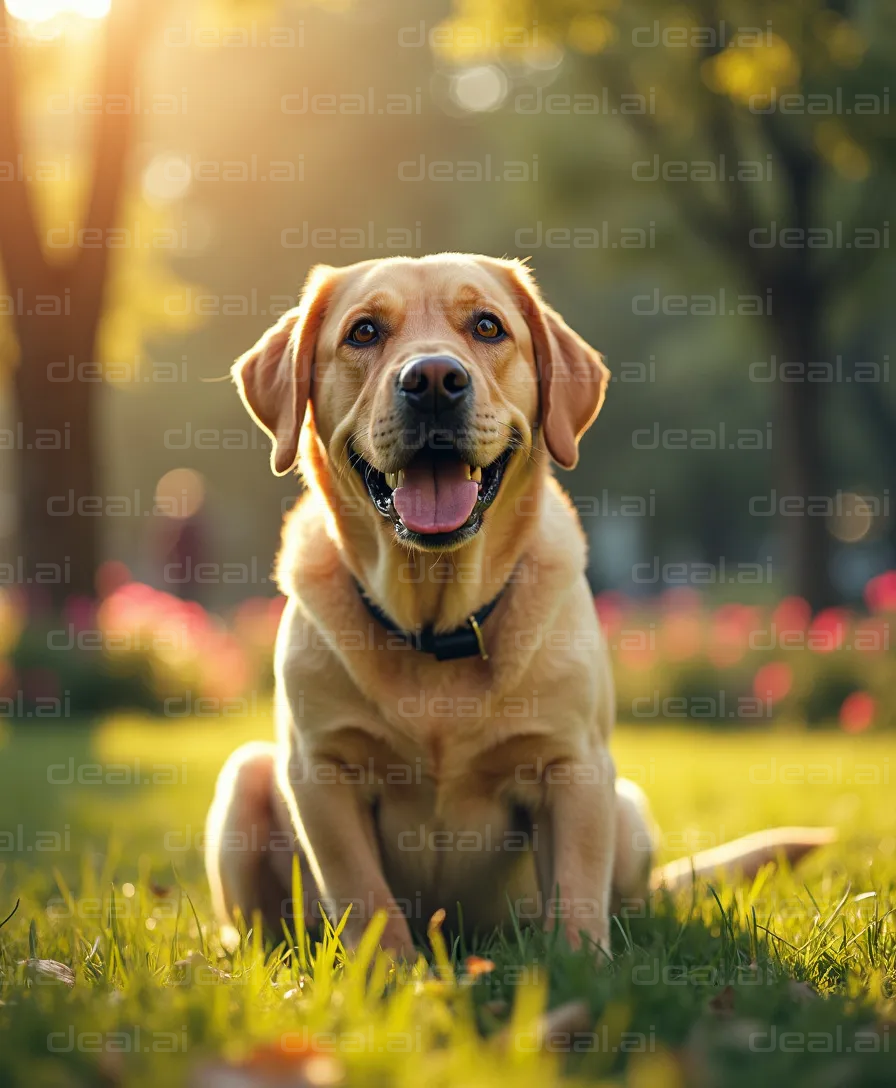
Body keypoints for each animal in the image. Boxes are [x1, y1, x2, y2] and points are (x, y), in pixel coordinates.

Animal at [204, 250, 835, 957]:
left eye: (487, 326)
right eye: (364, 332)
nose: (432, 380)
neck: (438, 619)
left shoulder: (573, 765)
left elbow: (578, 892)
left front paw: (582, 967)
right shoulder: (321, 771)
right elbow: (366, 899)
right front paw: (390, 973)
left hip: (627, 809)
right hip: (244, 778)